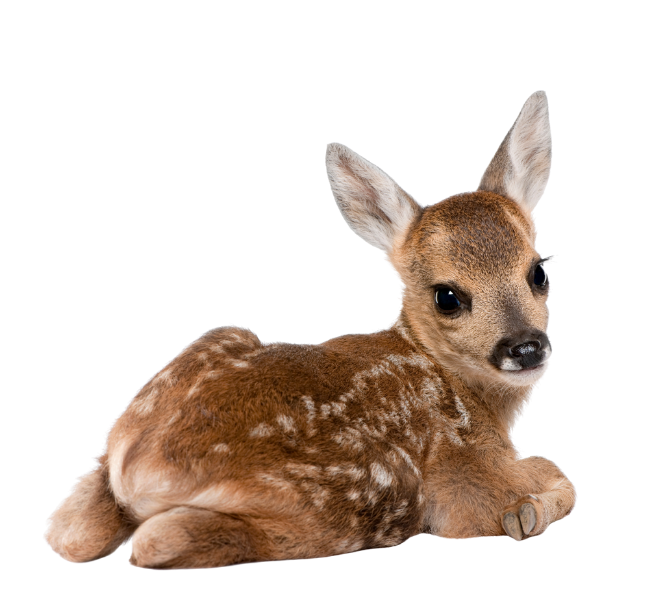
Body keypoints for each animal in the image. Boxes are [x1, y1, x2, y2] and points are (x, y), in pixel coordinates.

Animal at [43, 90, 576, 568]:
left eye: (539, 272)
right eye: (447, 296)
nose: (525, 348)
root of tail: (139, 467)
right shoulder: (463, 479)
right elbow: (554, 481)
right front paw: (524, 515)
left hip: (198, 362)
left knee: (68, 530)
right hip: (342, 500)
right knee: (158, 539)